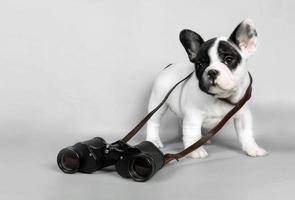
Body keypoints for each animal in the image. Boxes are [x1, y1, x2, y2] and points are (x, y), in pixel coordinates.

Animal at [147, 19, 270, 159]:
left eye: (228, 59)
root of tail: (169, 66)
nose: (211, 72)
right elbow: (192, 133)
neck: (221, 98)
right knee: (153, 122)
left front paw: (252, 148)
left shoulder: (243, 115)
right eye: (200, 64)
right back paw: (154, 141)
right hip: (158, 102)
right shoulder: (193, 116)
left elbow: (246, 133)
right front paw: (195, 150)